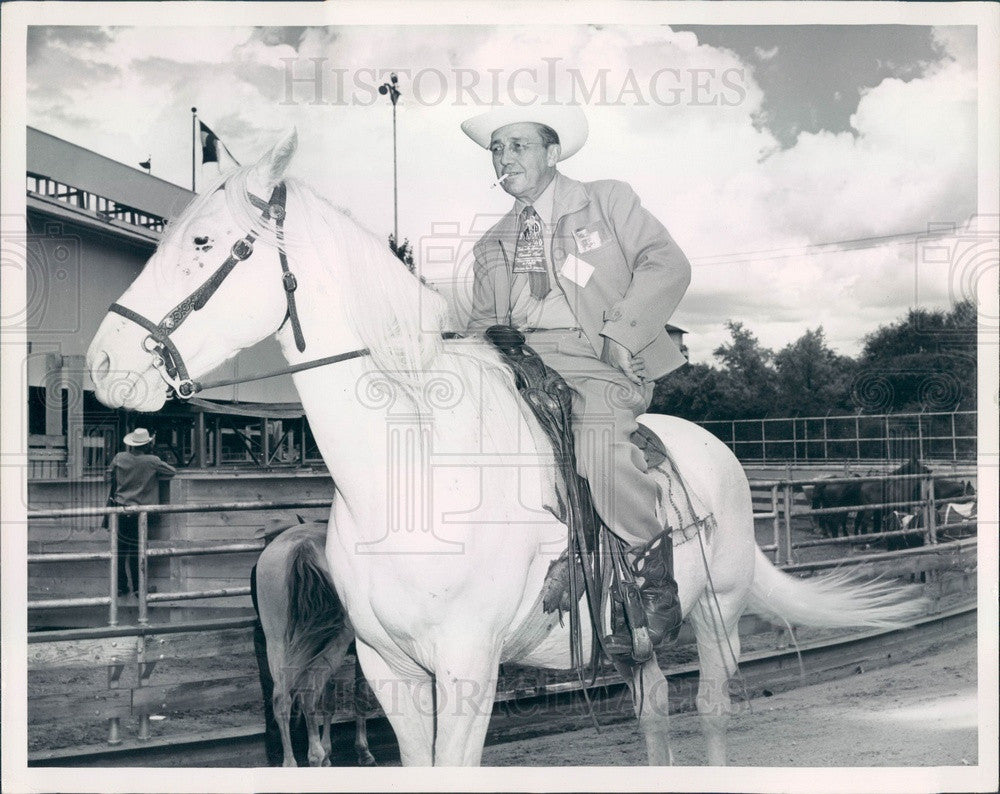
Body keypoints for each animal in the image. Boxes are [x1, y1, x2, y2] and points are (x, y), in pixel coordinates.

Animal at [90, 133, 924, 764]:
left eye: (202, 241)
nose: (103, 363)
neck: (410, 468)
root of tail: (716, 453)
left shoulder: (467, 669)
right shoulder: (389, 669)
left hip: (717, 615)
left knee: (713, 710)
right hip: (634, 642)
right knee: (654, 708)